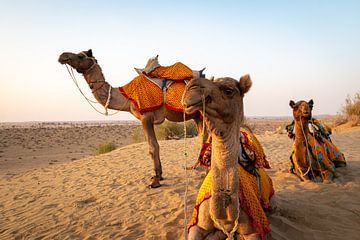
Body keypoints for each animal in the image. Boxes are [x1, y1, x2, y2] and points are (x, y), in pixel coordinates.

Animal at [58, 49, 207, 188]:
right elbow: (152, 145)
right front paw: (159, 175)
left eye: (80, 56)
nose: (62, 56)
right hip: (197, 116)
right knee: (202, 137)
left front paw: (156, 180)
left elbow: (153, 146)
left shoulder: (146, 116)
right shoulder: (144, 119)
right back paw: (197, 167)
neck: (127, 96)